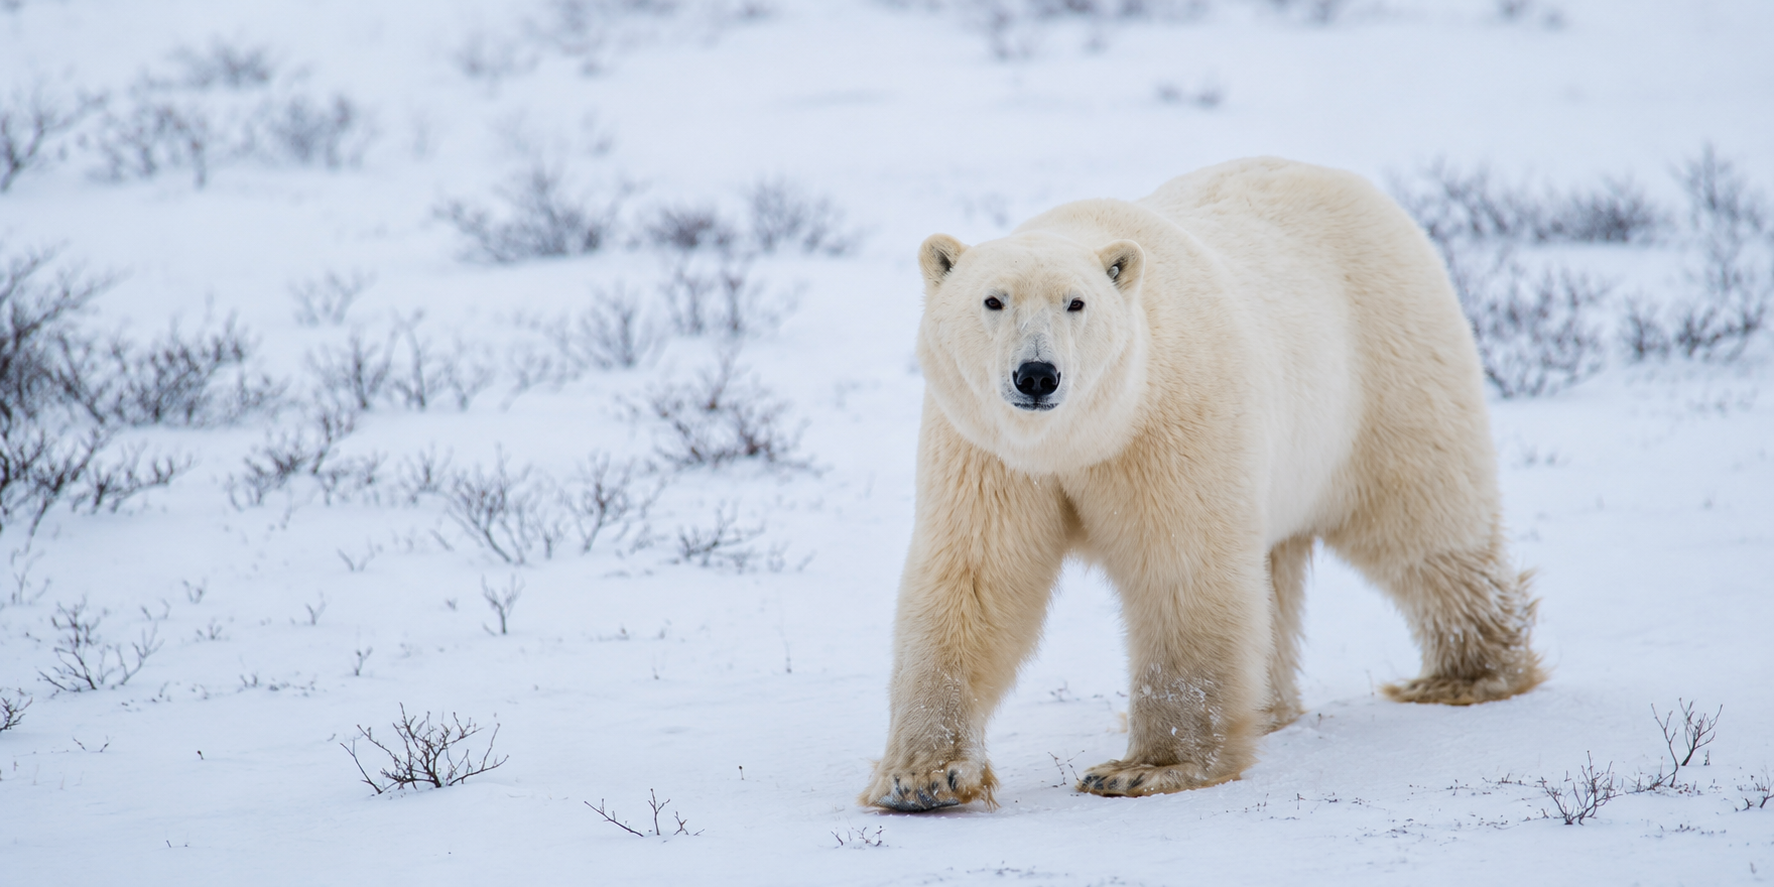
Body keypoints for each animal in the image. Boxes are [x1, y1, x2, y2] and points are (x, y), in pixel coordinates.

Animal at [859, 157, 1544, 812]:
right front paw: (922, 777)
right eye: (993, 300)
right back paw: (1269, 706)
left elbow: (1181, 571)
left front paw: (1145, 769)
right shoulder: (987, 452)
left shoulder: (1172, 422)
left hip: (1387, 371)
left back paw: (1466, 674)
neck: (1081, 438)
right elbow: (974, 577)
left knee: (1424, 519)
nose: (1036, 375)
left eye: (1076, 303)